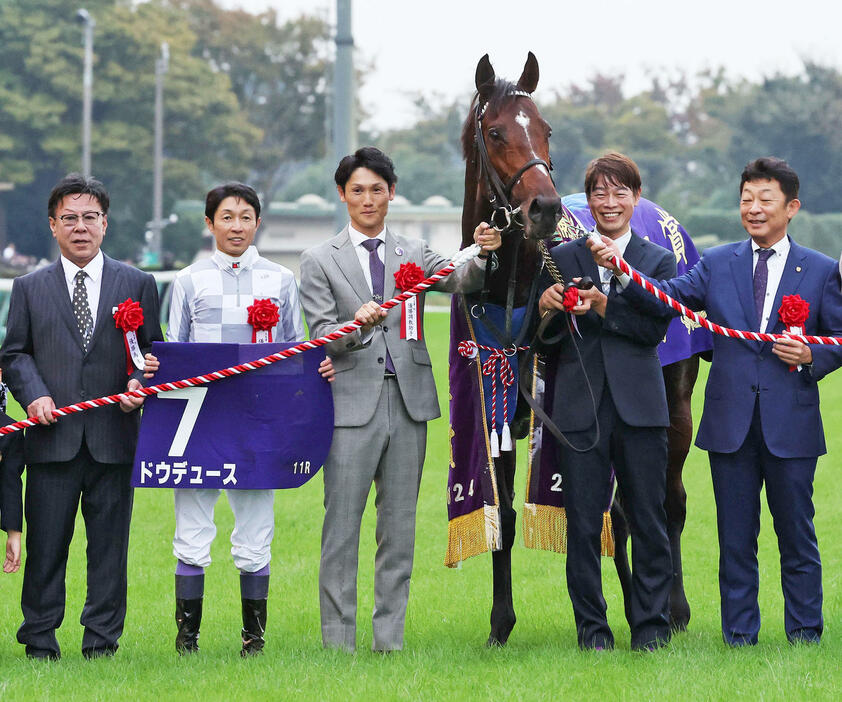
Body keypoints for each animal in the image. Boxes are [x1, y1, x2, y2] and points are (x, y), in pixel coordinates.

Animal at [460, 55, 696, 648]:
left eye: (545, 129)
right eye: (495, 132)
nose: (542, 207)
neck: (515, 287)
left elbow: (620, 509)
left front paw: (639, 608)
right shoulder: (500, 402)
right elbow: (506, 515)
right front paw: (501, 622)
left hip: (675, 399)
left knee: (668, 500)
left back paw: (674, 608)